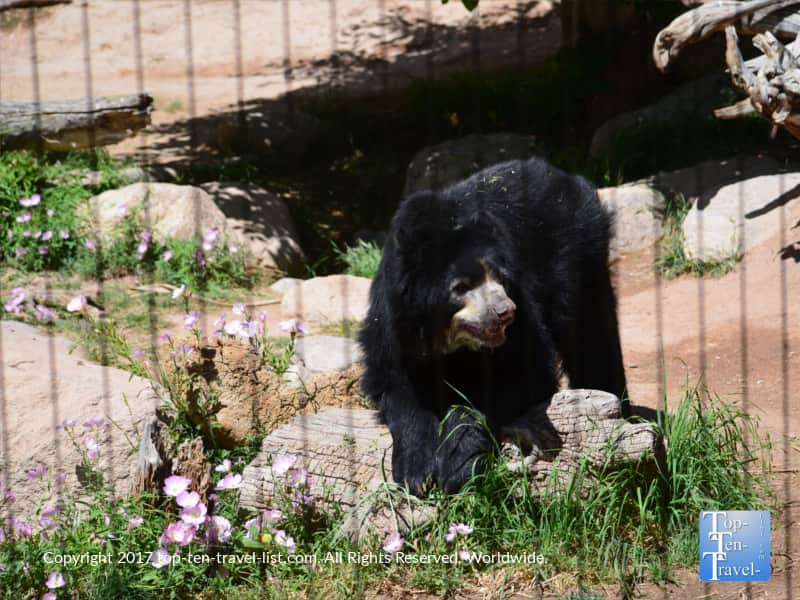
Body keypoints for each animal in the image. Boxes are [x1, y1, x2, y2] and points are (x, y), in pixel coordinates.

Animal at [358, 157, 627, 495]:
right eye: (461, 286)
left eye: (501, 278)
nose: (505, 312)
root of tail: (558, 173)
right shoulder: (392, 323)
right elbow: (395, 384)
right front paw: (415, 472)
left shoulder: (523, 314)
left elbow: (520, 374)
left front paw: (458, 463)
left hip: (578, 253)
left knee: (590, 333)